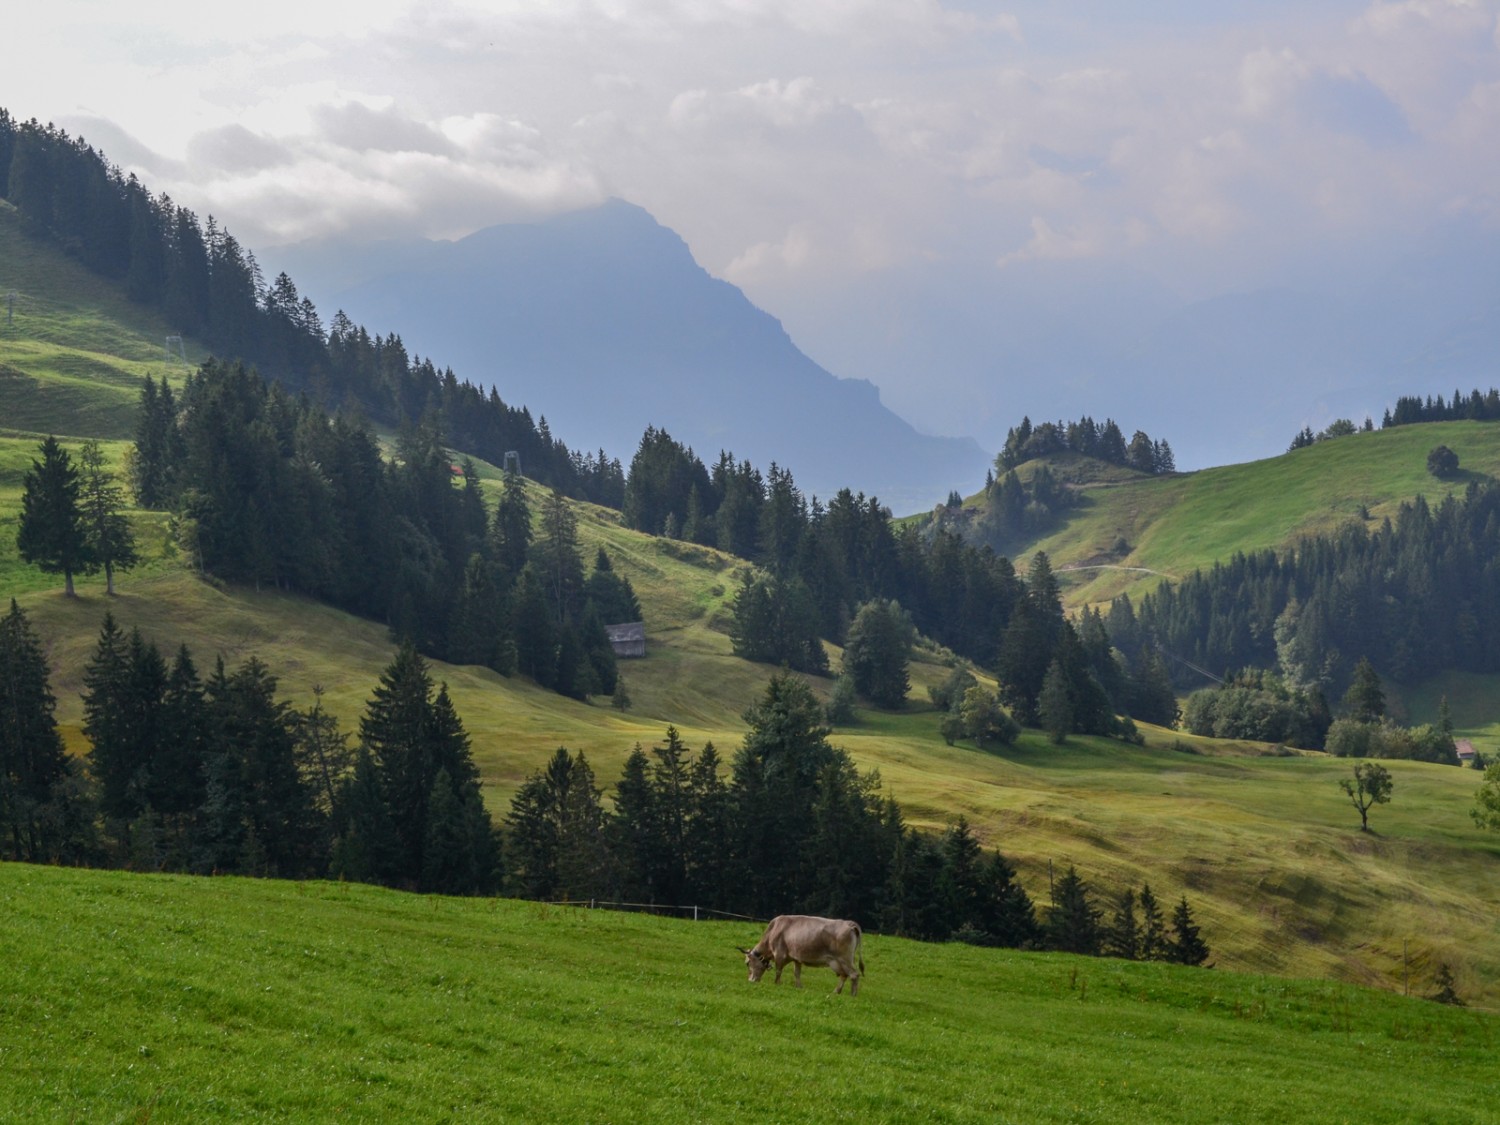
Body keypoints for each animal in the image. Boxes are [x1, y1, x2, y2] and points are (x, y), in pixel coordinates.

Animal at [738, 918, 870, 996]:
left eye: (747, 963)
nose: (751, 980)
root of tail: (850, 923)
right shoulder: (797, 958)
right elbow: (797, 973)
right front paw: (799, 987)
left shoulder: (779, 954)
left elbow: (778, 971)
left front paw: (777, 984)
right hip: (840, 961)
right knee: (844, 975)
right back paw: (836, 992)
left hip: (844, 959)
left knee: (854, 974)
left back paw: (853, 995)